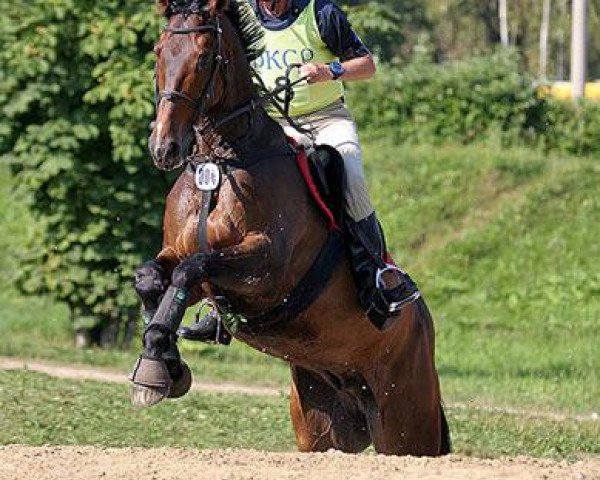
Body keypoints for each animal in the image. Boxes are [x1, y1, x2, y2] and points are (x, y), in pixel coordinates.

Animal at [131, 0, 450, 458]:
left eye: (205, 56)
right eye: (159, 52)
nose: (164, 148)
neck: (220, 163)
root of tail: (424, 325)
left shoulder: (267, 269)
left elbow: (191, 269)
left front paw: (158, 362)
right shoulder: (182, 255)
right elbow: (155, 277)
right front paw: (161, 360)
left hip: (407, 419)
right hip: (320, 421)